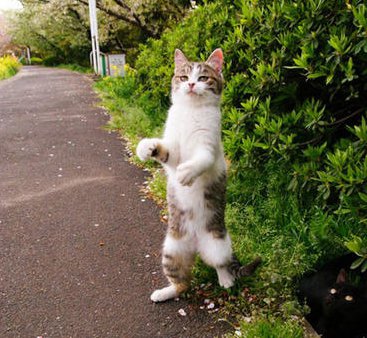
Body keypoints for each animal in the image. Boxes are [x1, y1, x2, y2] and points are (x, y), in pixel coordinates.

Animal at [137, 48, 260, 304]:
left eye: (203, 77)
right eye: (184, 77)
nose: (192, 84)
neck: (190, 112)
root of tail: (195, 244)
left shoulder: (209, 144)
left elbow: (202, 159)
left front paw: (188, 172)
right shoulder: (173, 150)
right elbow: (166, 152)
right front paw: (146, 148)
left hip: (218, 243)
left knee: (221, 263)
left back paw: (226, 279)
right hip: (171, 250)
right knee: (182, 282)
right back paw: (165, 292)